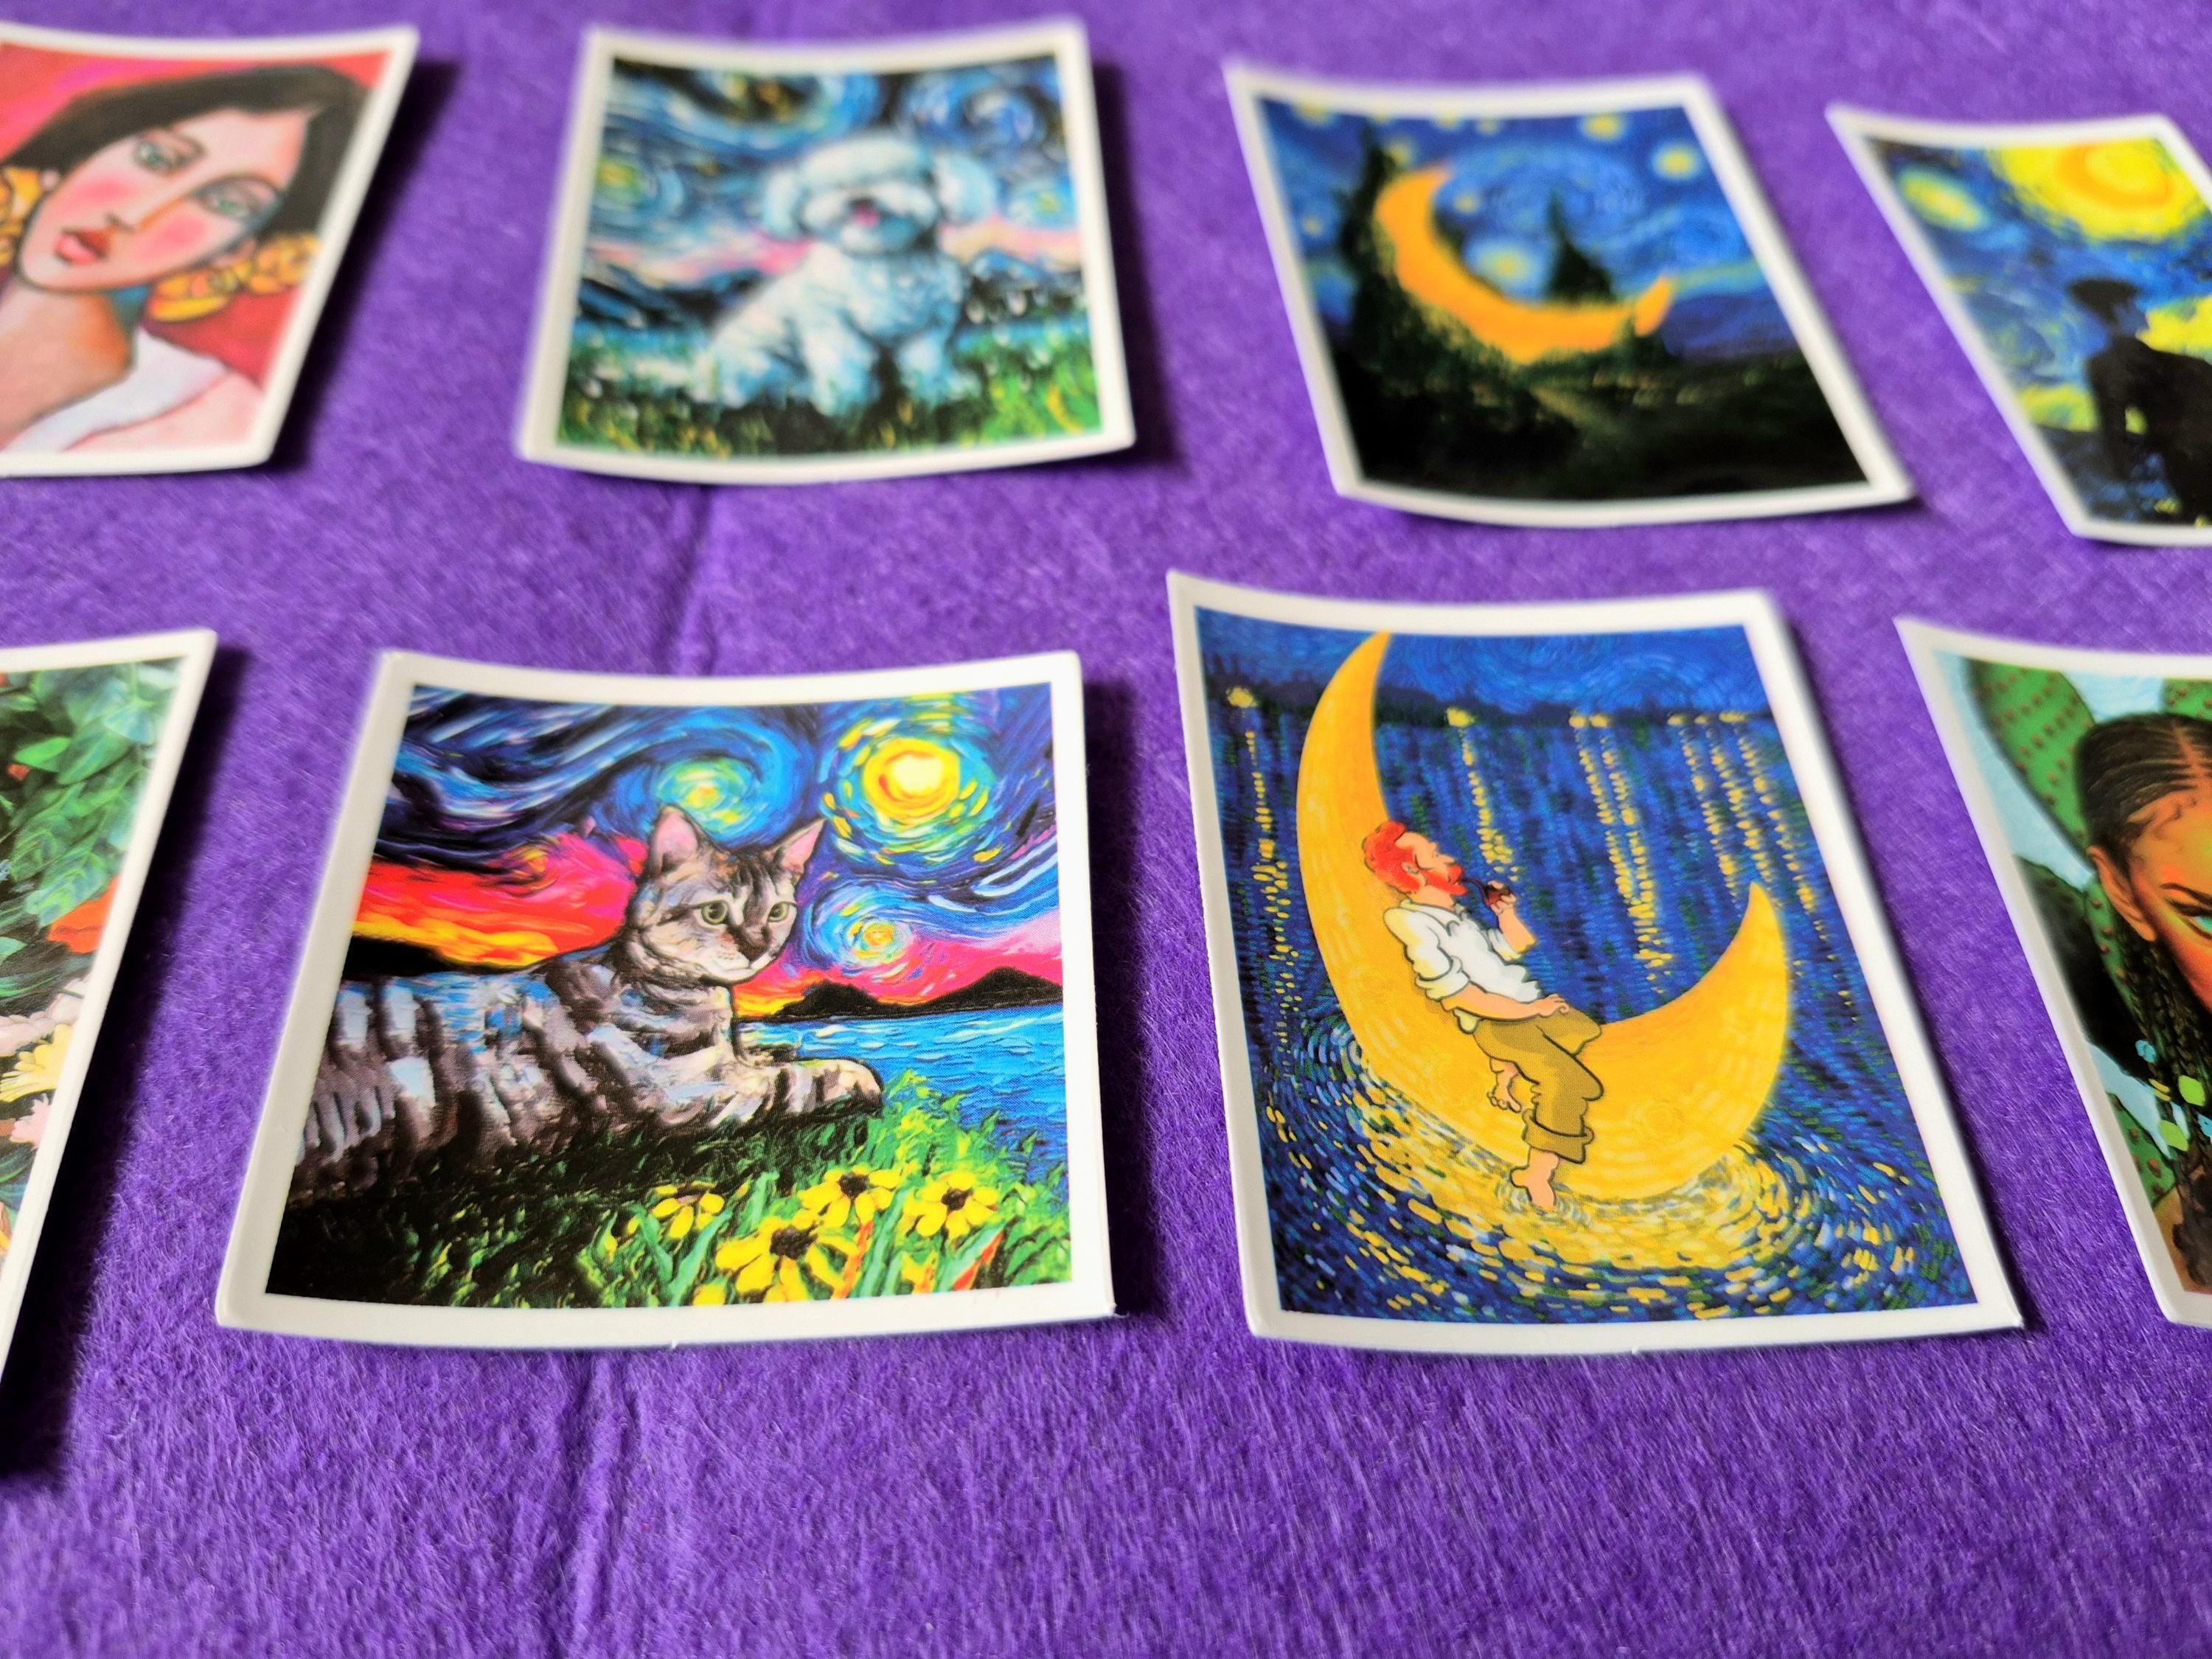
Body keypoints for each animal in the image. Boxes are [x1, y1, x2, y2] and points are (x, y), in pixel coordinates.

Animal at [293, 805, 882, 1205]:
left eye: (778, 911)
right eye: (715, 913)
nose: (757, 946)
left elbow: (770, 1056)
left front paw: (777, 1048)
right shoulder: (691, 1097)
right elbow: (799, 1079)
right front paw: (859, 1077)